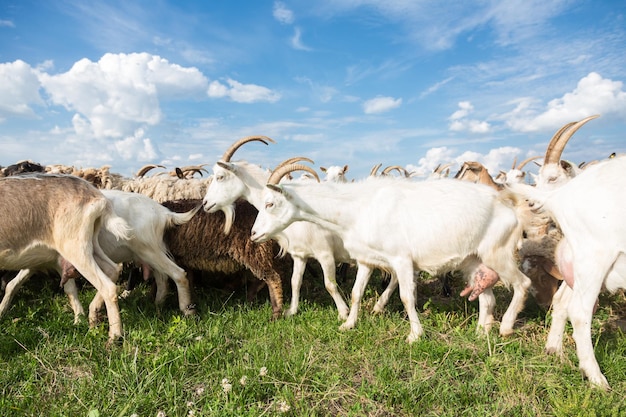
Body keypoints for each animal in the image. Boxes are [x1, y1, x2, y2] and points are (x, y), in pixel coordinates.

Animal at [0, 174, 129, 340]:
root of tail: (96, 195)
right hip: (89, 245)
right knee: (113, 269)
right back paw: (92, 316)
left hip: (75, 248)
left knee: (109, 287)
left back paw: (114, 336)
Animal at [204, 136, 352, 318]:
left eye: (220, 176)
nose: (205, 203)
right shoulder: (299, 253)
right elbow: (295, 281)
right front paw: (292, 311)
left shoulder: (325, 253)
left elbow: (329, 284)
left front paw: (344, 313)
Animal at [251, 162, 528, 342]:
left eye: (270, 203)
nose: (253, 234)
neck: (359, 208)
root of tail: (508, 206)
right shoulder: (365, 260)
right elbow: (355, 292)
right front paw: (348, 324)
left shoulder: (401, 260)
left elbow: (406, 296)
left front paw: (415, 335)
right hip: (474, 261)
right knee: (487, 297)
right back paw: (482, 332)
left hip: (498, 254)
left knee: (522, 283)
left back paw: (505, 328)